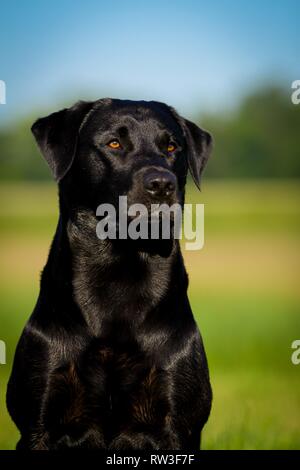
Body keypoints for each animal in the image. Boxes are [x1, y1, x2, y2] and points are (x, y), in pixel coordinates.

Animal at [7, 98, 213, 448]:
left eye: (172, 146)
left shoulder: (179, 425)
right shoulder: (37, 425)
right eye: (114, 143)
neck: (120, 270)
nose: (161, 184)